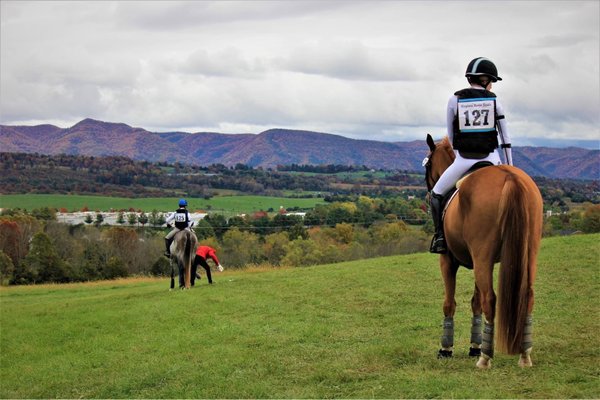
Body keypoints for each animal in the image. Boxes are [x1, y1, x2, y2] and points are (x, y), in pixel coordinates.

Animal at [422, 135, 544, 368]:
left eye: (428, 164)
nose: (428, 191)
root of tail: (510, 179)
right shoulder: (476, 262)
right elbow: (475, 302)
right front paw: (474, 346)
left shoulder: (448, 261)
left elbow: (450, 303)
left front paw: (446, 349)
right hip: (526, 254)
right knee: (528, 296)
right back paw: (524, 355)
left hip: (482, 257)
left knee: (490, 299)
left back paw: (485, 359)